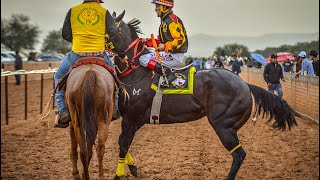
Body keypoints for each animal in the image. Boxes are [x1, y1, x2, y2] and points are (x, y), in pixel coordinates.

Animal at [110, 11, 300, 180]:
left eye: (110, 29)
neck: (137, 72)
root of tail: (245, 85)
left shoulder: (132, 118)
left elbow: (123, 145)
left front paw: (118, 175)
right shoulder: (134, 120)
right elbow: (121, 143)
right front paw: (133, 168)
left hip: (223, 125)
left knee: (239, 154)